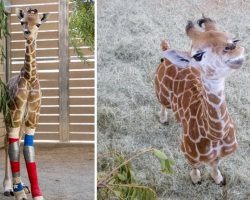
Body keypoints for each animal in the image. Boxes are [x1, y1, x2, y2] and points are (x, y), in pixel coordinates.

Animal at [154, 16, 244, 185]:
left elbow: (215, 164)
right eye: (198, 55)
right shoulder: (188, 153)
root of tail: (166, 51)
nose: (234, 49)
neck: (215, 136)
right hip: (160, 93)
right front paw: (196, 180)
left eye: (235, 39)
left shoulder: (221, 155)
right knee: (162, 104)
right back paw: (163, 119)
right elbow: (195, 167)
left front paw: (218, 179)